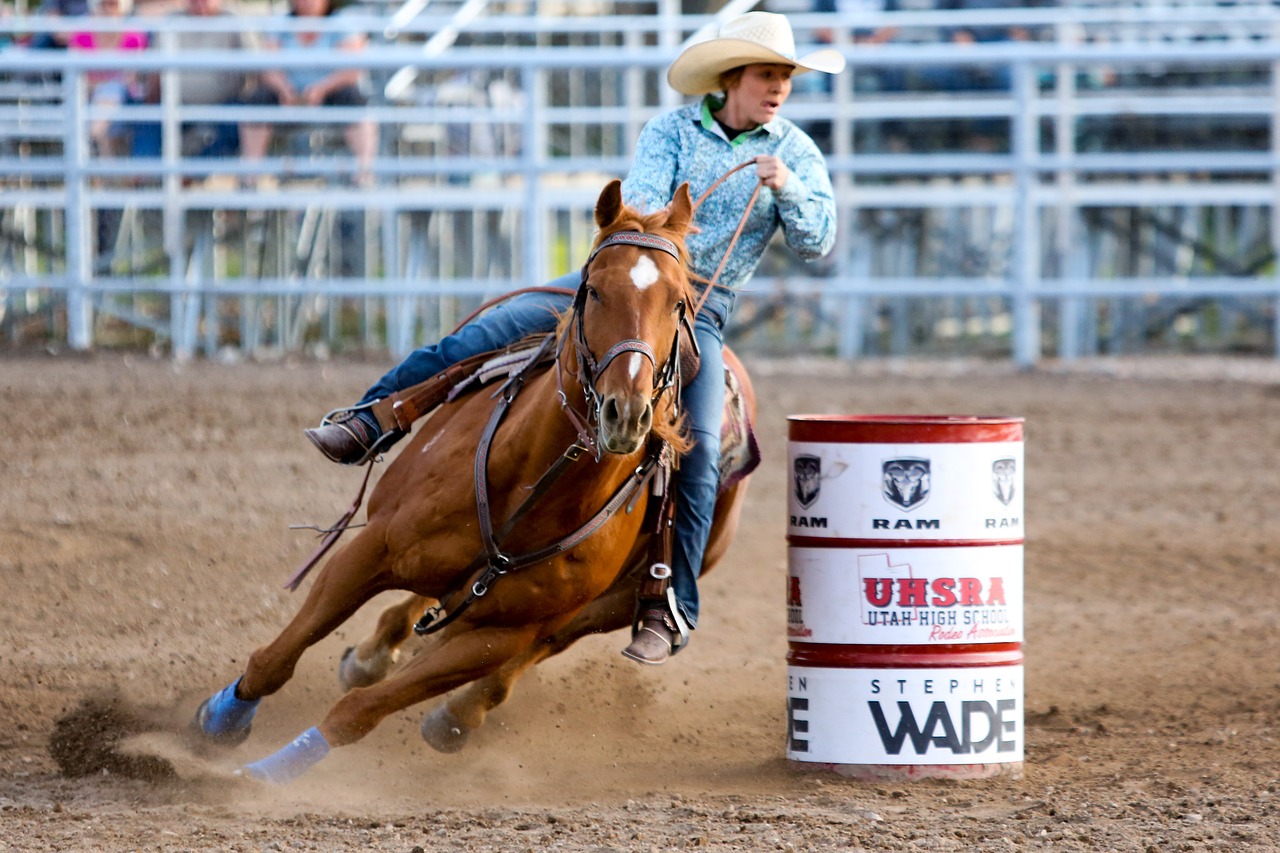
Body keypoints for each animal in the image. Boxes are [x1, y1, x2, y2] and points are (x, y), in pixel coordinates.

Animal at [185, 180, 752, 783]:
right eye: (594, 290)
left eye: (678, 303)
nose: (626, 413)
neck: (533, 488)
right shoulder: (371, 549)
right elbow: (277, 658)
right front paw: (220, 722)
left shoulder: (500, 635)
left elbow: (359, 712)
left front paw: (267, 777)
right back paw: (371, 651)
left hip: (602, 610)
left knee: (523, 657)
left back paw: (455, 716)